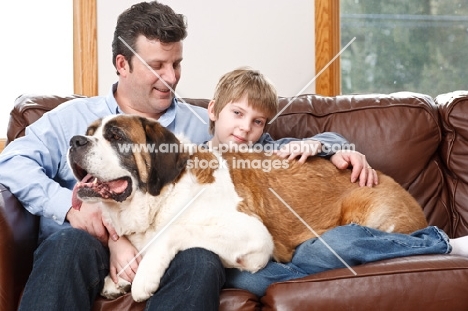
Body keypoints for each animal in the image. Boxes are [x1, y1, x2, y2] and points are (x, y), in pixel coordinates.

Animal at [67, 114, 430, 302]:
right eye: (89, 132)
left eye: (115, 136)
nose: (75, 141)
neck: (162, 195)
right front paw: (117, 278)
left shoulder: (255, 237)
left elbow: (175, 231)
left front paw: (142, 278)